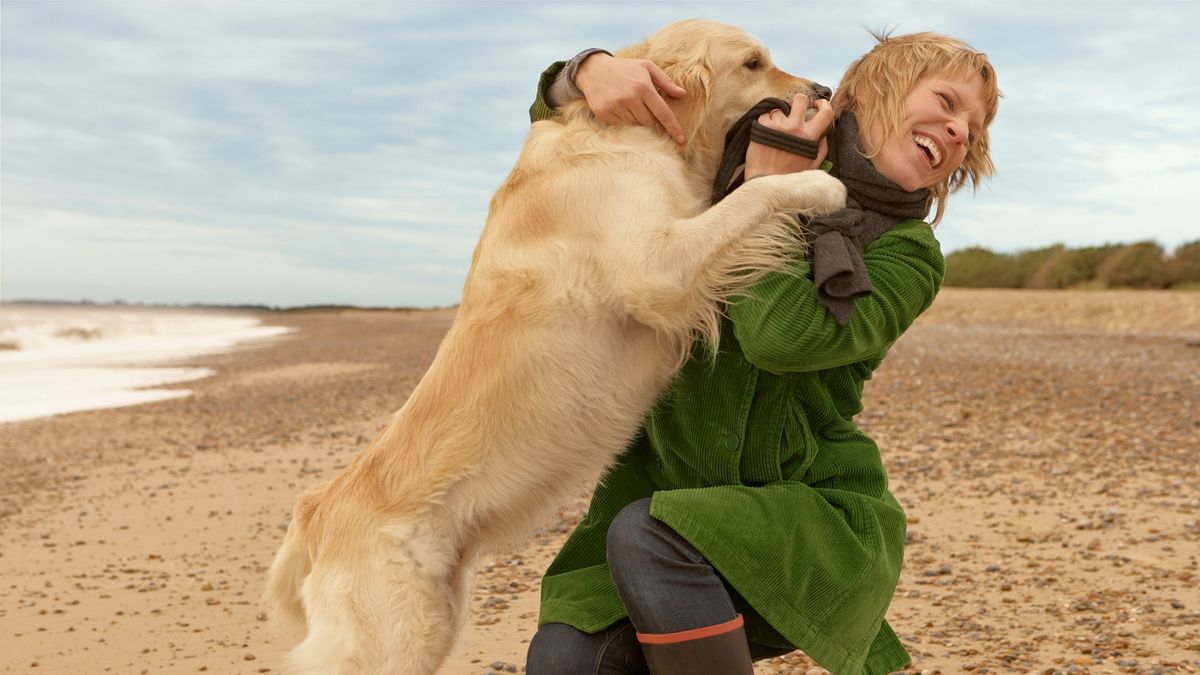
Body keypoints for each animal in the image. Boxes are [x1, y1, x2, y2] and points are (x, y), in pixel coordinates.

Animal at [265, 18, 844, 667]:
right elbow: (751, 195)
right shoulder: (657, 271)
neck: (638, 133)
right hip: (395, 640)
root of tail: (316, 512)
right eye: (752, 64)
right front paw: (819, 184)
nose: (824, 90)